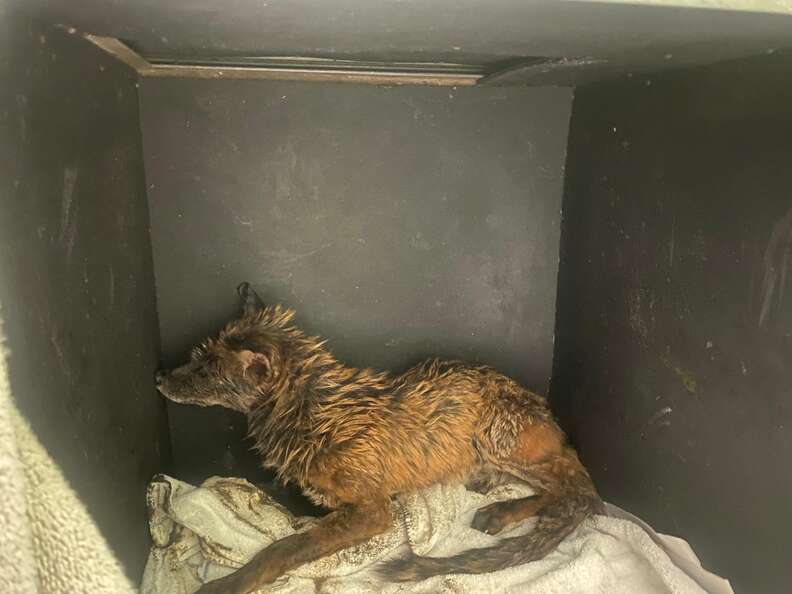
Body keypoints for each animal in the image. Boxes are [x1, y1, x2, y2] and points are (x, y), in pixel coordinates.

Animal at [155, 282, 603, 594]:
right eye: (197, 357)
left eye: (206, 370)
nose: (158, 377)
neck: (311, 415)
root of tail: (544, 408)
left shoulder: (374, 510)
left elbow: (283, 547)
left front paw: (232, 583)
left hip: (499, 438)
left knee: (581, 491)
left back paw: (507, 512)